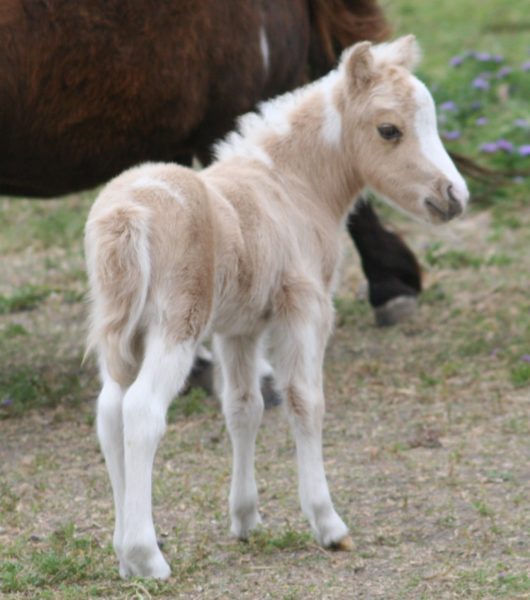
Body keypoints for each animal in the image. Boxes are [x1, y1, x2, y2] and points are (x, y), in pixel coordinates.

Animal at [84, 35, 468, 580]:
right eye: (389, 129)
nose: (453, 196)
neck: (291, 188)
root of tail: (126, 214)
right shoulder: (306, 309)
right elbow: (306, 402)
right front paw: (329, 525)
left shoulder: (238, 329)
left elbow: (244, 406)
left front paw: (245, 519)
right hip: (176, 325)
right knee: (141, 411)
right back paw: (147, 556)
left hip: (121, 334)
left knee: (110, 411)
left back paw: (122, 557)